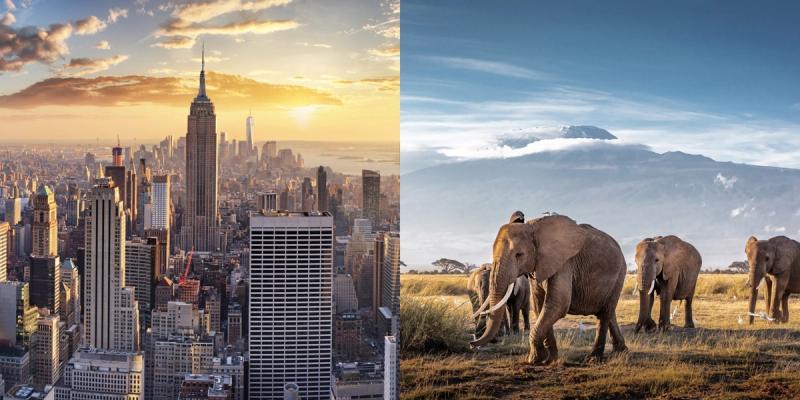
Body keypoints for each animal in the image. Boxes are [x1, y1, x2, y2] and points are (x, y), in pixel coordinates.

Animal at [469, 213, 628, 365]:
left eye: (519, 254)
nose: (471, 344)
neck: (533, 227)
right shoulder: (538, 265)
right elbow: (540, 305)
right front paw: (550, 359)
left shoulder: (564, 263)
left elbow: (558, 304)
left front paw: (534, 360)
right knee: (608, 312)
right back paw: (621, 351)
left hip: (620, 273)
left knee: (605, 313)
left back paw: (594, 359)